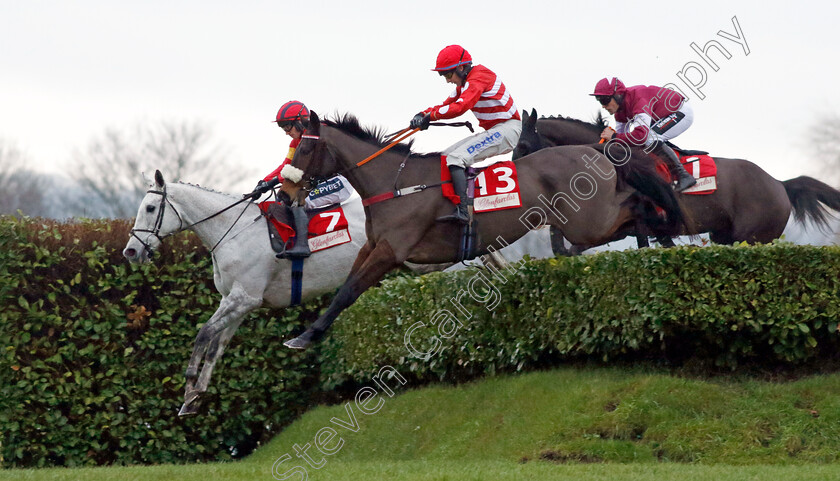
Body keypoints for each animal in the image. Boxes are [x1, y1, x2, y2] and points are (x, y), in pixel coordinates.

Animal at [122, 171, 368, 414]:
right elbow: (215, 345)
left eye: (150, 208)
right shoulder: (232, 301)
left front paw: (190, 386)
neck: (233, 233)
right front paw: (196, 395)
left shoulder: (246, 299)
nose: (131, 251)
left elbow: (204, 333)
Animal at [278, 110, 684, 346]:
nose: (285, 190)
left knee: (634, 204)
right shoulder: (371, 247)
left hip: (589, 222)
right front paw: (308, 332)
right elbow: (344, 287)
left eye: (303, 149)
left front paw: (306, 337)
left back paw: (666, 223)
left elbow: (349, 292)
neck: (395, 183)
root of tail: (593, 149)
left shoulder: (390, 252)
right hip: (586, 222)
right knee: (633, 211)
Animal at [512, 109, 840, 248]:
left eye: (524, 146)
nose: (518, 180)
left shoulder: (637, 222)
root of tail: (779, 184)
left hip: (753, 237)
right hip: (724, 235)